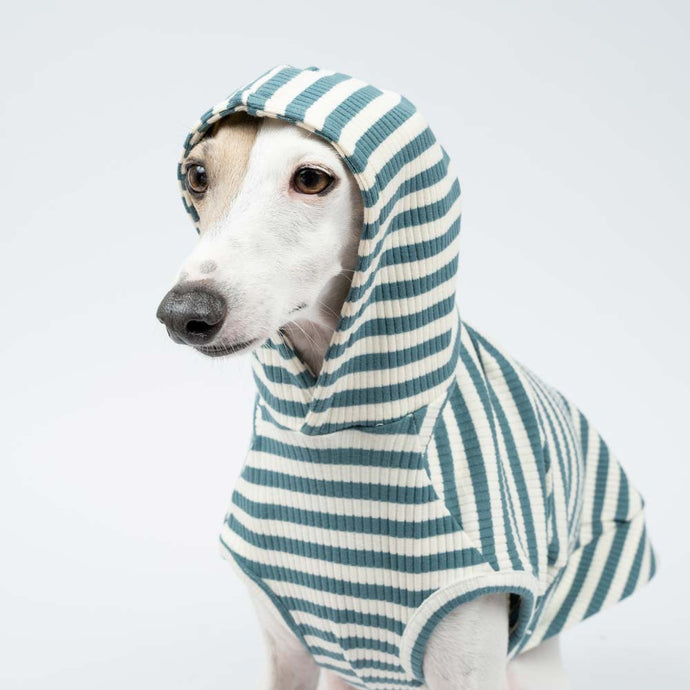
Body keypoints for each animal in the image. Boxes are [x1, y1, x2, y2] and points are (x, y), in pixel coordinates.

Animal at [157, 65, 655, 690]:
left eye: (312, 178)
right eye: (197, 175)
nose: (184, 313)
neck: (329, 428)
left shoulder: (468, 653)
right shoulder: (286, 646)